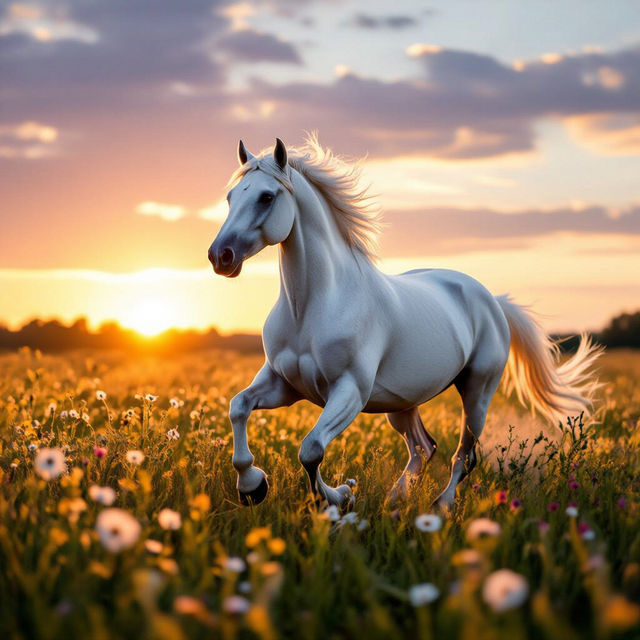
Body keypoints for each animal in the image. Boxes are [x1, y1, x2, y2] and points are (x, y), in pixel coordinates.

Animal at [207, 135, 601, 510]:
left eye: (266, 197)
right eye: (230, 196)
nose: (219, 256)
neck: (311, 307)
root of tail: (493, 302)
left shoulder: (348, 391)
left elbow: (311, 450)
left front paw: (338, 496)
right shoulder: (283, 384)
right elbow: (238, 407)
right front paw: (253, 487)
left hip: (477, 392)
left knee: (464, 455)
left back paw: (439, 507)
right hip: (401, 403)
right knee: (424, 448)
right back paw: (395, 501)